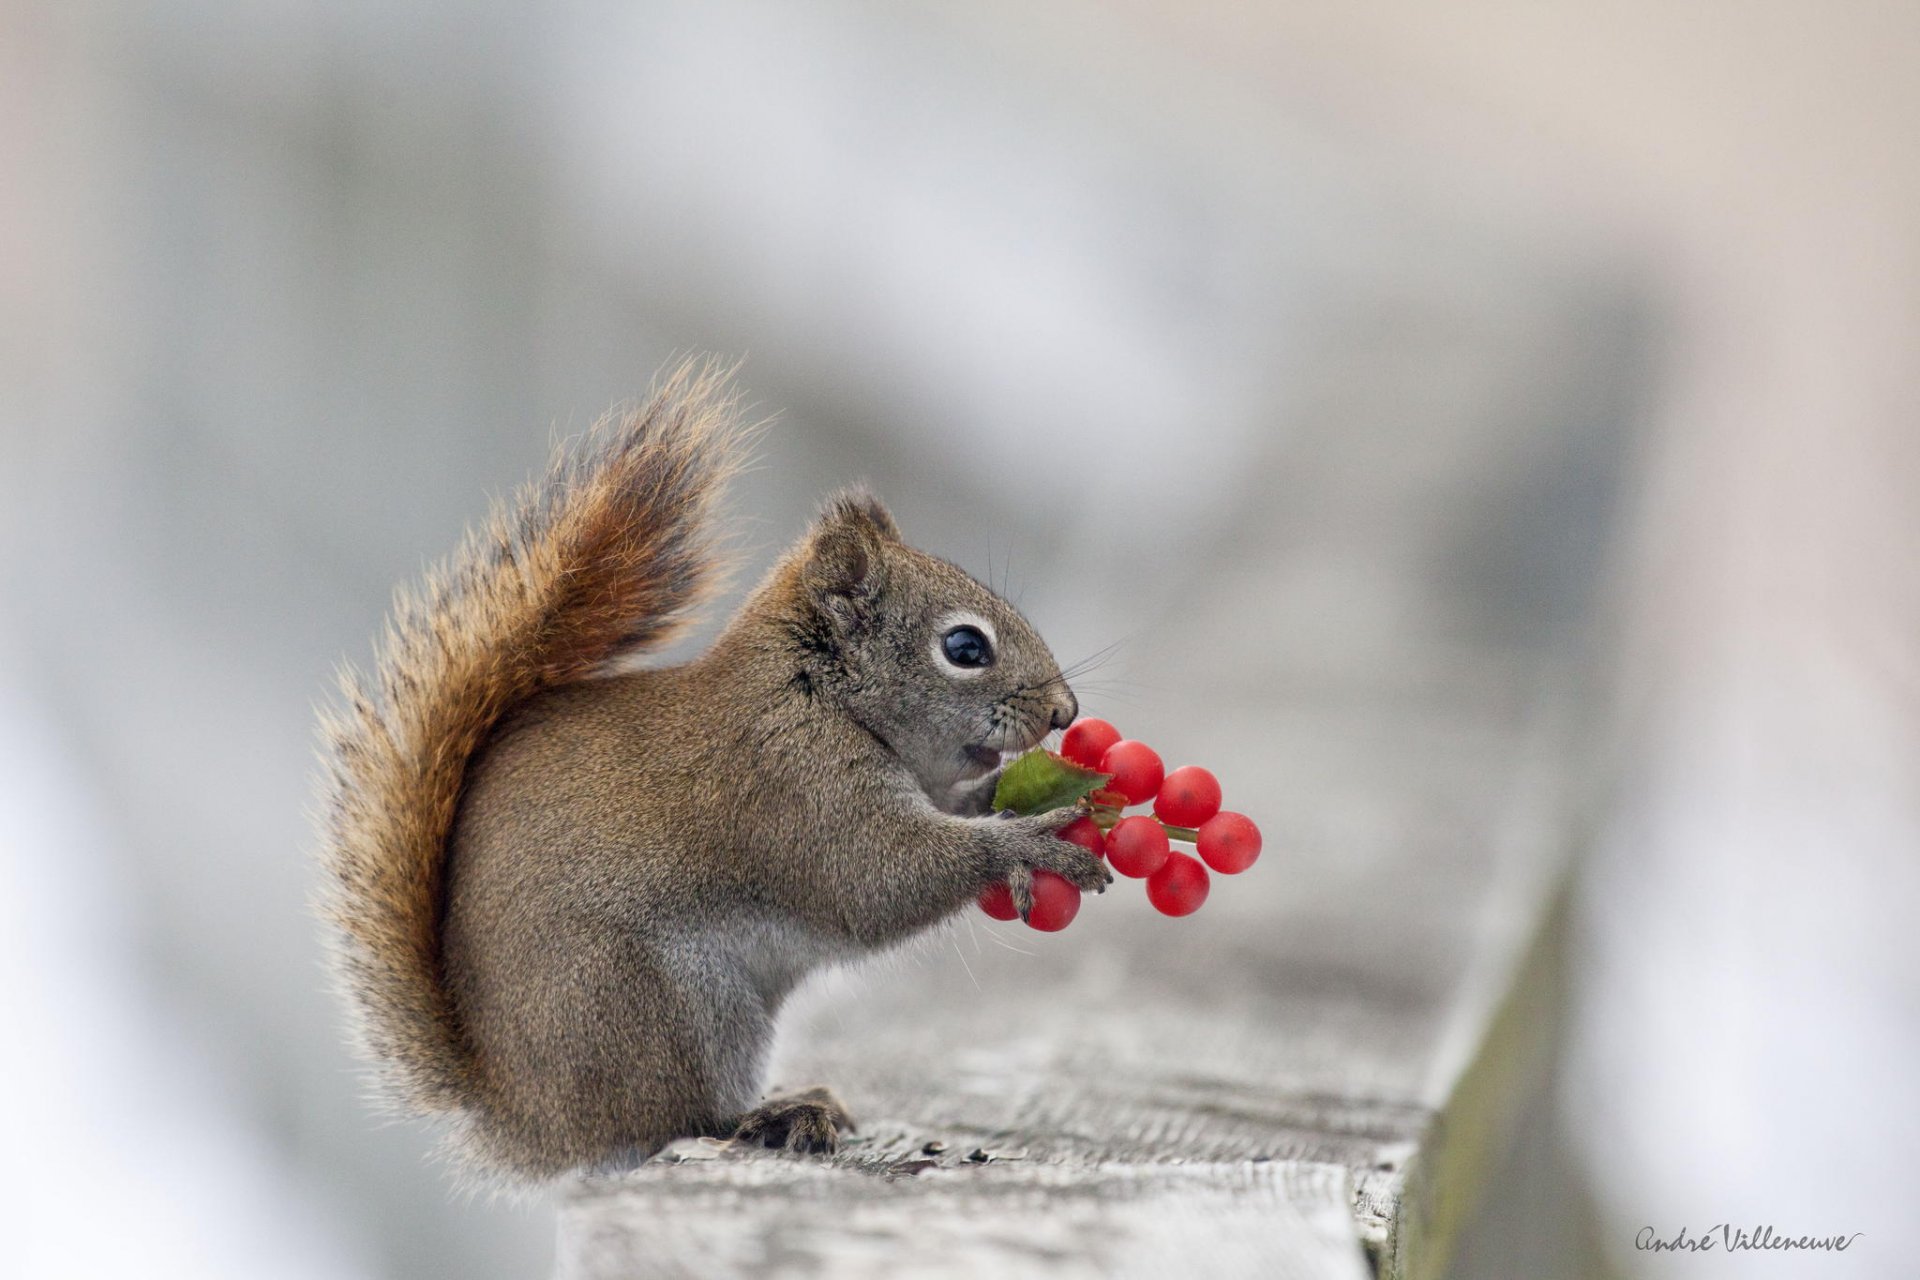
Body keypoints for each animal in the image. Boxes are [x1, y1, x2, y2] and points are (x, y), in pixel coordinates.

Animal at [315, 361, 1110, 1184]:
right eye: (964, 647)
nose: (1065, 709)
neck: (814, 691)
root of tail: (531, 1121)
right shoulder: (792, 785)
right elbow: (877, 880)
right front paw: (1029, 842)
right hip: (672, 1007)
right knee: (680, 1119)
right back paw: (777, 1115)